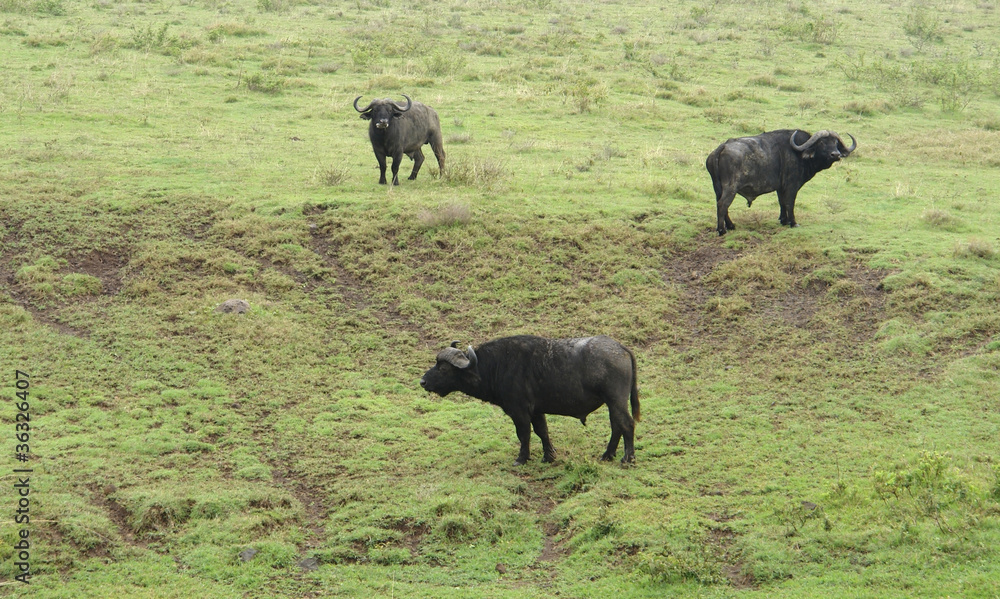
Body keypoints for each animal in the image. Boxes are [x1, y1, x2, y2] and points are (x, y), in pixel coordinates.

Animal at [420, 336, 640, 466]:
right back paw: (607, 454)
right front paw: (549, 456)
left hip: (616, 400)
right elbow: (542, 431)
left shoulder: (519, 412)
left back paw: (628, 458)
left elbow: (524, 434)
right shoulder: (536, 411)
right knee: (616, 426)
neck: (497, 366)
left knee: (626, 424)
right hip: (612, 403)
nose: (423, 381)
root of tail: (621, 349)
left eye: (443, 368)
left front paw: (521, 458)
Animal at [704, 129, 860, 237]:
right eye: (822, 143)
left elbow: (782, 202)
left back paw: (730, 226)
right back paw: (722, 230)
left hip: (717, 188)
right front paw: (793, 222)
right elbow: (790, 203)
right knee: (723, 204)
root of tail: (722, 148)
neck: (799, 154)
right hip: (731, 187)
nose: (836, 154)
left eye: (835, 143)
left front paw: (783, 220)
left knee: (721, 205)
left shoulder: (780, 187)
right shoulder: (791, 186)